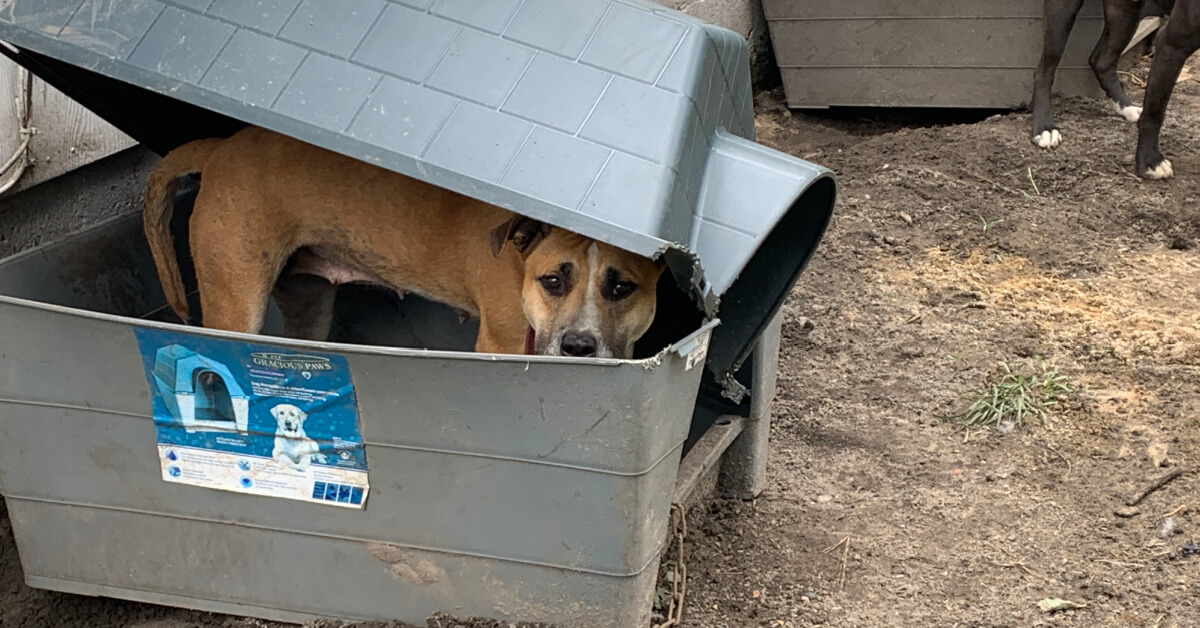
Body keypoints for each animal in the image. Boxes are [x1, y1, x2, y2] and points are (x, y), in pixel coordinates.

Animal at [143, 126, 665, 358]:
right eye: (553, 280)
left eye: (622, 287)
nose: (579, 345)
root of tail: (221, 147)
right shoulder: (501, 340)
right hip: (237, 301)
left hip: (309, 305)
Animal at [1032, 0, 1200, 179]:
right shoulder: (1172, 46)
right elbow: (1154, 114)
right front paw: (1150, 161)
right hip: (1062, 14)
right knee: (1044, 71)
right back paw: (1045, 127)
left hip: (1125, 12)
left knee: (1101, 62)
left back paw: (1126, 108)